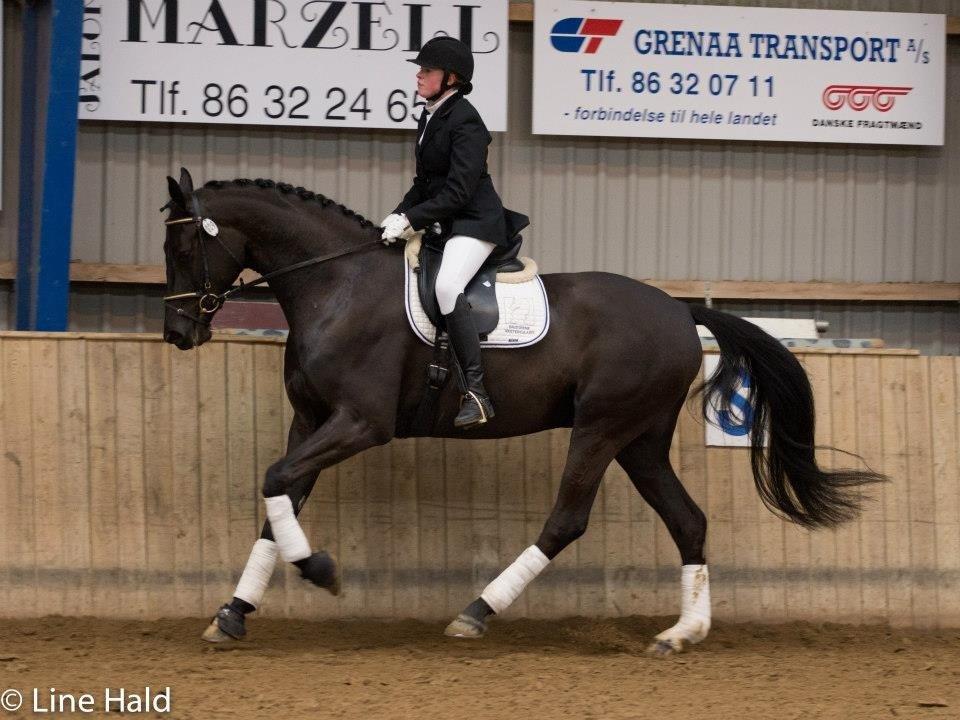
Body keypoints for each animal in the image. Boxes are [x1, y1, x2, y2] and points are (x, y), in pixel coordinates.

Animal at [159, 170, 884, 660]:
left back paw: (477, 612)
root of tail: (681, 311)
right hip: (640, 440)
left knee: (567, 519)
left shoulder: (359, 423)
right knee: (688, 520)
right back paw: (682, 632)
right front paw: (232, 613)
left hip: (601, 428)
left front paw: (321, 572)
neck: (337, 285)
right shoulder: (311, 421)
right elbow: (279, 494)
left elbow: (277, 480)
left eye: (183, 247)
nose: (176, 335)